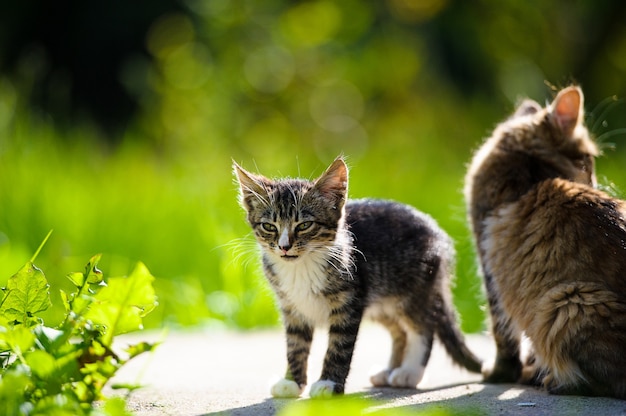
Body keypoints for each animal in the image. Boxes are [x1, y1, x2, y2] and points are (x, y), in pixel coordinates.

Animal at [232, 158, 480, 398]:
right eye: (268, 226)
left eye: (304, 225)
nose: (284, 247)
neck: (301, 267)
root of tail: (438, 234)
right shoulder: (292, 306)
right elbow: (295, 344)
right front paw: (292, 382)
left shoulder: (349, 301)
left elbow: (339, 346)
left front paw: (329, 384)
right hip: (381, 300)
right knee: (399, 330)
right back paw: (389, 371)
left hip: (415, 290)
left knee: (423, 327)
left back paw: (409, 372)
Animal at [460, 85, 624, 400]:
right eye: (589, 160)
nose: (594, 181)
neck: (530, 174)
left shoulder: (490, 267)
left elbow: (504, 338)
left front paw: (500, 373)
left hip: (568, 300)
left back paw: (558, 382)